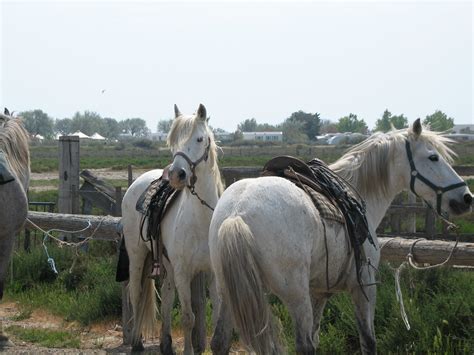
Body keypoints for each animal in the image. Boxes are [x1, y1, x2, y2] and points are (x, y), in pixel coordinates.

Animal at [120, 103, 224, 354]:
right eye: (173, 141)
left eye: (199, 138)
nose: (177, 174)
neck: (202, 220)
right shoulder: (183, 272)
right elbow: (188, 318)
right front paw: (188, 350)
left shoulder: (212, 273)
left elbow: (216, 314)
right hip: (137, 255)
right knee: (135, 293)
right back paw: (137, 342)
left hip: (166, 262)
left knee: (166, 295)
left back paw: (165, 344)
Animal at [209, 120, 472, 355]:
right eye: (433, 157)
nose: (466, 197)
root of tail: (237, 213)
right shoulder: (363, 285)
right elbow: (368, 341)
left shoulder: (318, 291)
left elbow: (317, 336)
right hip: (295, 295)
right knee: (303, 346)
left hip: (228, 292)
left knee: (220, 343)